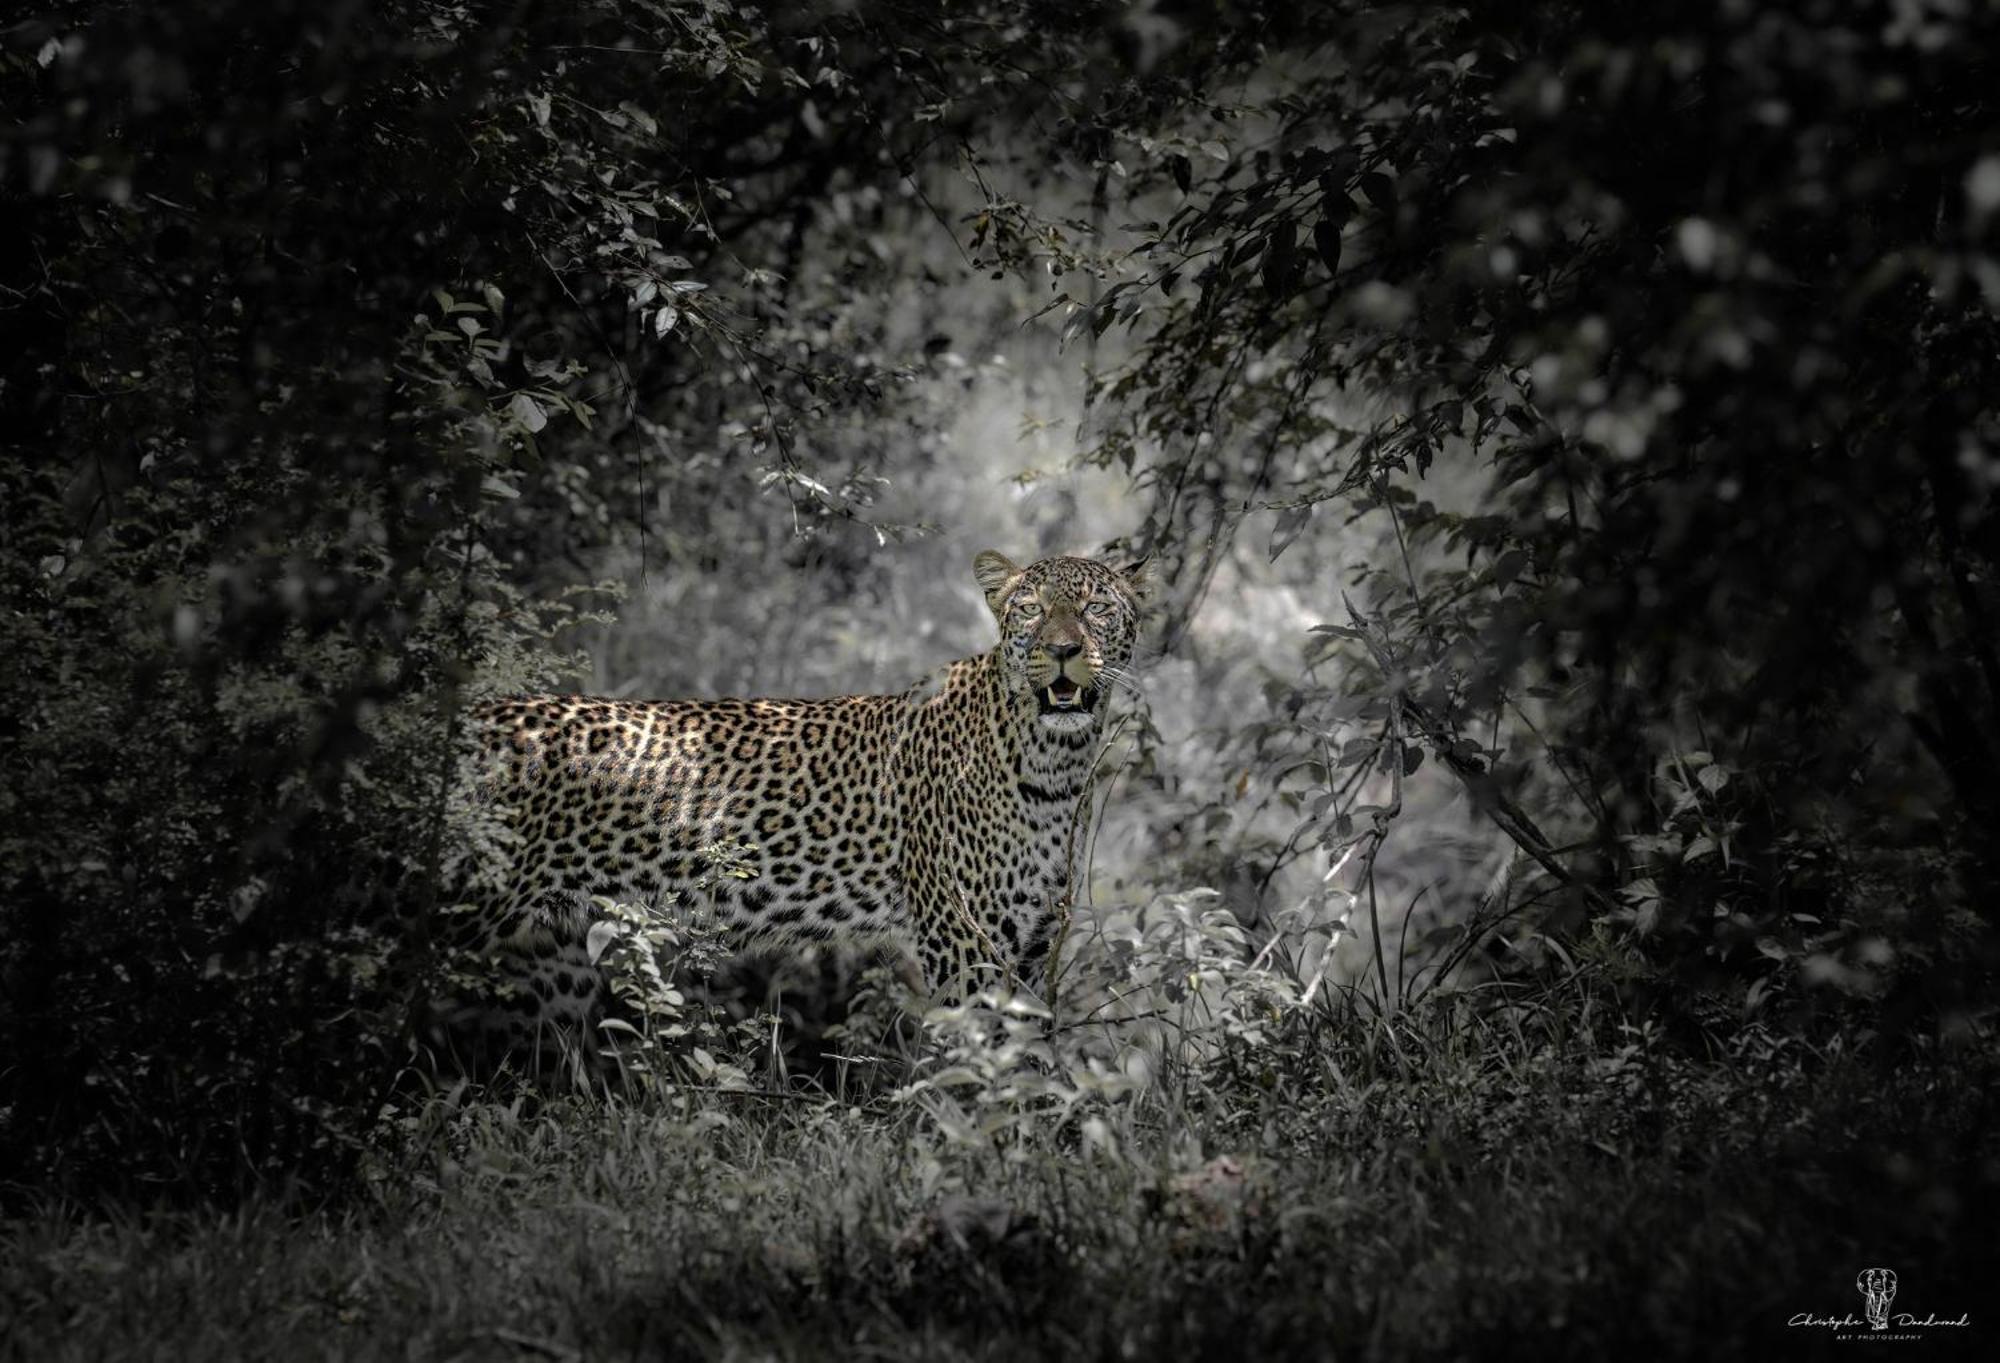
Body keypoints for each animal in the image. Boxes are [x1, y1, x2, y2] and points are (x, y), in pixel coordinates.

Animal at [438, 547, 1160, 1063]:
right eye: (1031, 609)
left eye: (1097, 607)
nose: (1063, 651)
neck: (1052, 763)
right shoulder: (961, 943)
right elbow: (978, 1064)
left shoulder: (1034, 947)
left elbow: (1028, 1059)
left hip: (551, 957)